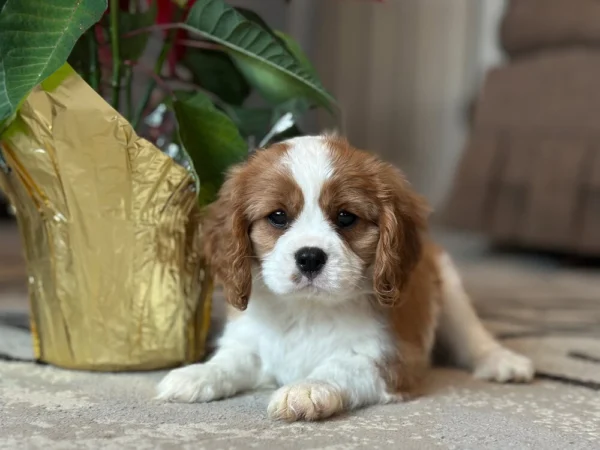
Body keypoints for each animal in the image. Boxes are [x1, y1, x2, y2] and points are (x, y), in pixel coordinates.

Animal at [156, 135, 536, 420]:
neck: (308, 310)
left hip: (450, 288)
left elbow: (341, 365)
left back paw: (502, 361)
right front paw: (197, 373)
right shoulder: (247, 341)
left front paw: (306, 389)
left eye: (345, 217)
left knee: (473, 335)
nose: (310, 257)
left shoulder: (391, 358)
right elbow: (231, 361)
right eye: (278, 217)